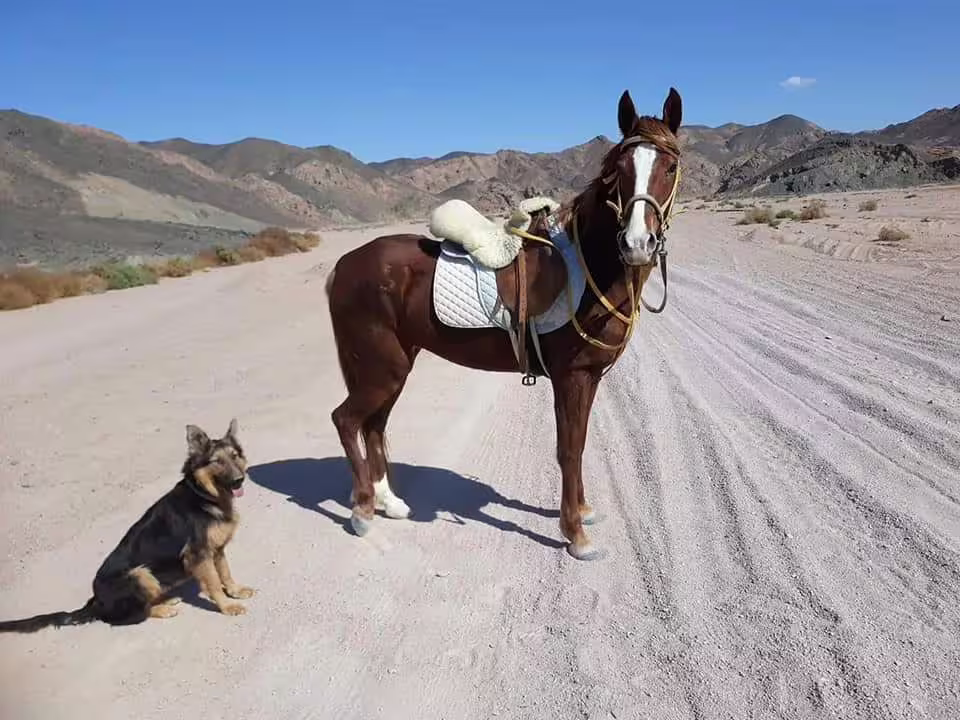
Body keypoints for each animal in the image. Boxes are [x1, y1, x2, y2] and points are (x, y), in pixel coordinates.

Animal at [325, 87, 683, 561]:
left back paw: (391, 503)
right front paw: (576, 534)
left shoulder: (589, 377)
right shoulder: (571, 377)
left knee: (374, 425)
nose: (637, 243)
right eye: (619, 171)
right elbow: (569, 449)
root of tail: (344, 265)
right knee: (347, 421)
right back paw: (363, 511)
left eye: (669, 167)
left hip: (391, 368)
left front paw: (583, 512)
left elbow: (580, 444)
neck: (585, 268)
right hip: (381, 369)